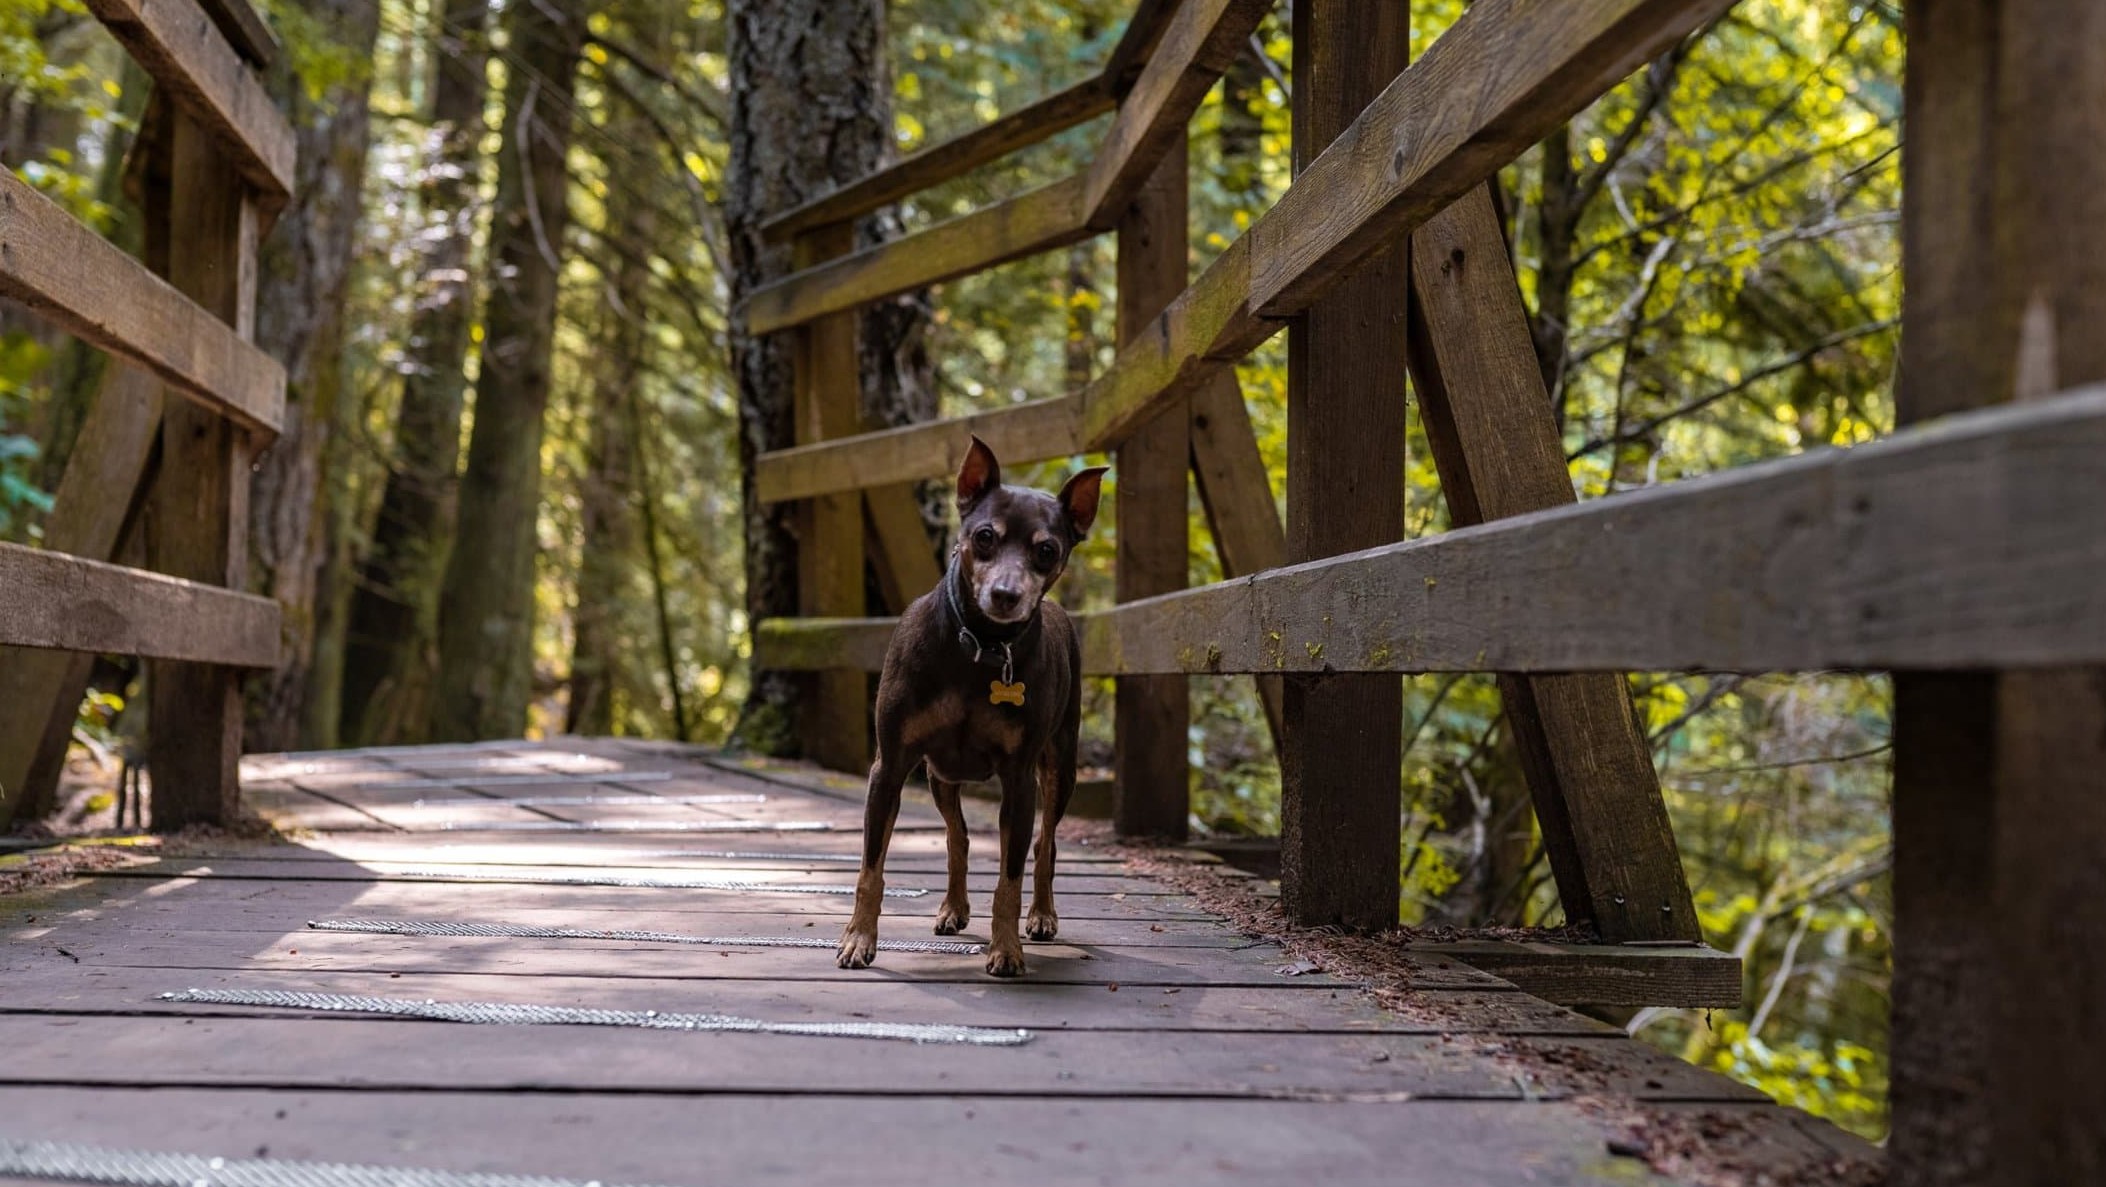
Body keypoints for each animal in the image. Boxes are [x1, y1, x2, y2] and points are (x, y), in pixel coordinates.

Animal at [833, 435, 1111, 972]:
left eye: (1047, 550)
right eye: (984, 536)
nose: (1006, 594)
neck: (980, 646)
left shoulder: (1019, 780)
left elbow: (1009, 877)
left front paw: (1007, 948)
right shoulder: (890, 766)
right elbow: (871, 869)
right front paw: (858, 939)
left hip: (1060, 766)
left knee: (1045, 844)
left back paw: (1042, 915)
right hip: (940, 775)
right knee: (957, 836)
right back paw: (952, 908)